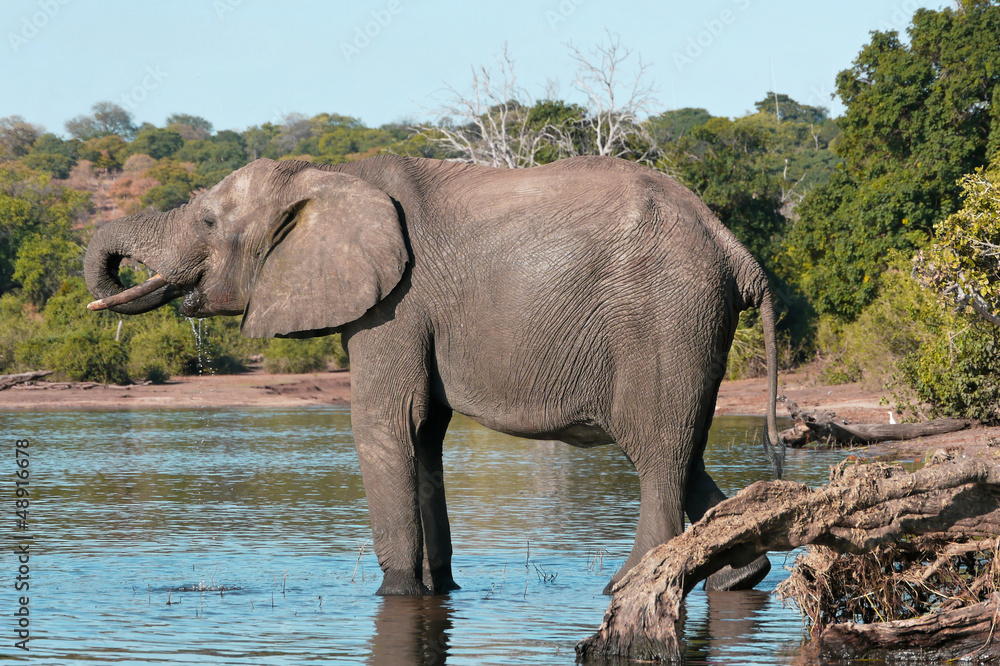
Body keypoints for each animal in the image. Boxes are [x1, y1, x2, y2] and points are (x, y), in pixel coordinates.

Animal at [84, 154, 783, 596]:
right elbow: (422, 434)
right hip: (687, 328)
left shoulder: (395, 302)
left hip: (664, 319)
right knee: (684, 452)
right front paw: (439, 589)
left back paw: (627, 585)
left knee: (658, 455)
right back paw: (738, 577)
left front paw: (395, 595)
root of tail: (734, 246)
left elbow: (383, 424)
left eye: (207, 222)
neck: (325, 175)